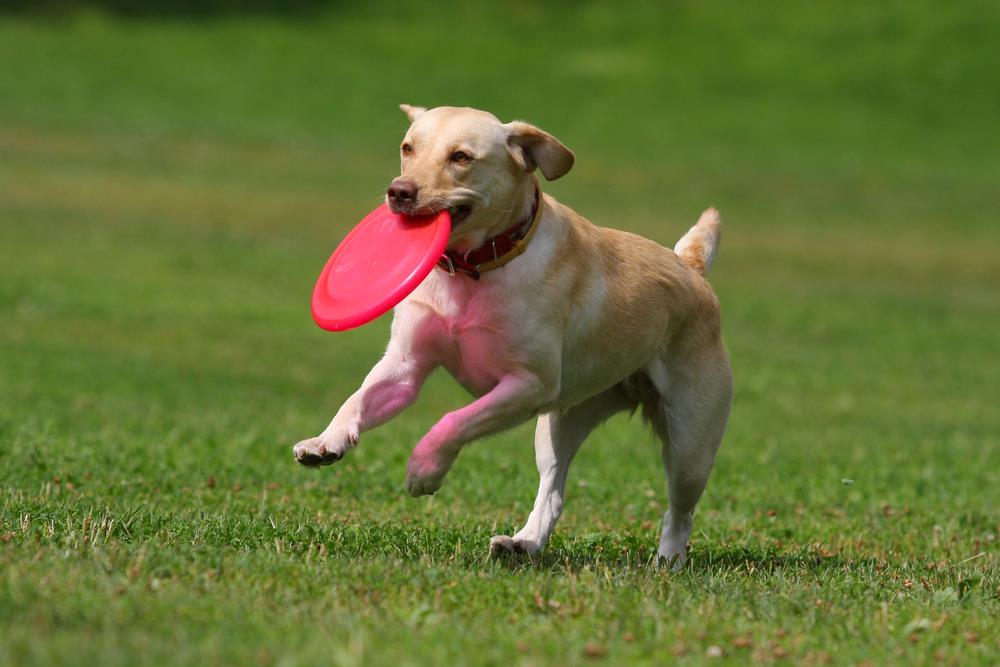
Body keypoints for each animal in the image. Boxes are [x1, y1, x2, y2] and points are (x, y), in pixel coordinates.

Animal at [292, 105, 732, 568]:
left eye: (461, 157)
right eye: (407, 148)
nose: (399, 192)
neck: (474, 269)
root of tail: (691, 267)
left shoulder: (528, 386)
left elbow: (454, 421)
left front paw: (424, 468)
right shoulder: (405, 368)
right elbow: (358, 399)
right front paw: (325, 442)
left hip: (690, 443)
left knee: (680, 510)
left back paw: (669, 560)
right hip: (560, 424)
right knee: (553, 490)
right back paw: (524, 543)